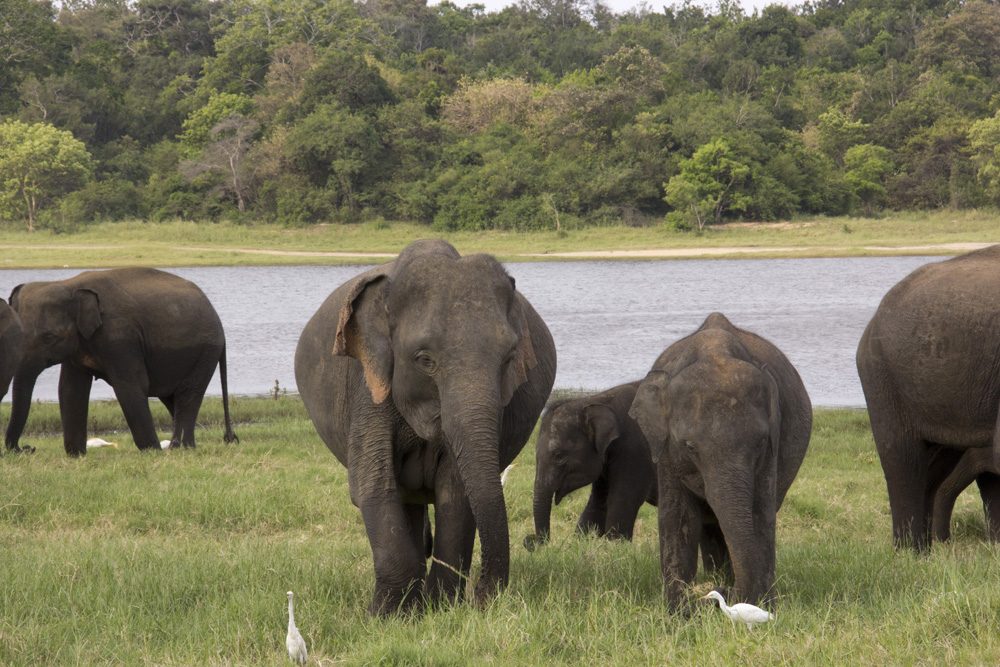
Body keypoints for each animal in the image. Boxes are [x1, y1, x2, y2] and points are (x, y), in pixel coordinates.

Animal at [4, 268, 237, 456]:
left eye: (50, 338)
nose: (27, 448)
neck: (68, 284)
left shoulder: (120, 337)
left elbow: (131, 386)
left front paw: (152, 452)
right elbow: (71, 390)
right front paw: (76, 455)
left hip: (206, 350)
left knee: (188, 395)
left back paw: (178, 448)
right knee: (173, 399)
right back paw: (184, 448)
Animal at [292, 239, 560, 616]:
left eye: (509, 359)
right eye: (424, 360)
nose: (481, 595)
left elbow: (455, 490)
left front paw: (440, 607)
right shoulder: (368, 387)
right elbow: (372, 485)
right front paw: (385, 616)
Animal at [524, 380, 656, 548]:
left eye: (559, 457)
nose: (529, 539)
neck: (595, 401)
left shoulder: (636, 451)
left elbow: (622, 501)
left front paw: (614, 545)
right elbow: (597, 504)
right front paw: (581, 543)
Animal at [632, 314, 812, 612]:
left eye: (760, 442)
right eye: (690, 447)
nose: (722, 591)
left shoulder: (772, 448)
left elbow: (760, 514)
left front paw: (764, 606)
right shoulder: (666, 450)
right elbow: (678, 517)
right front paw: (677, 612)